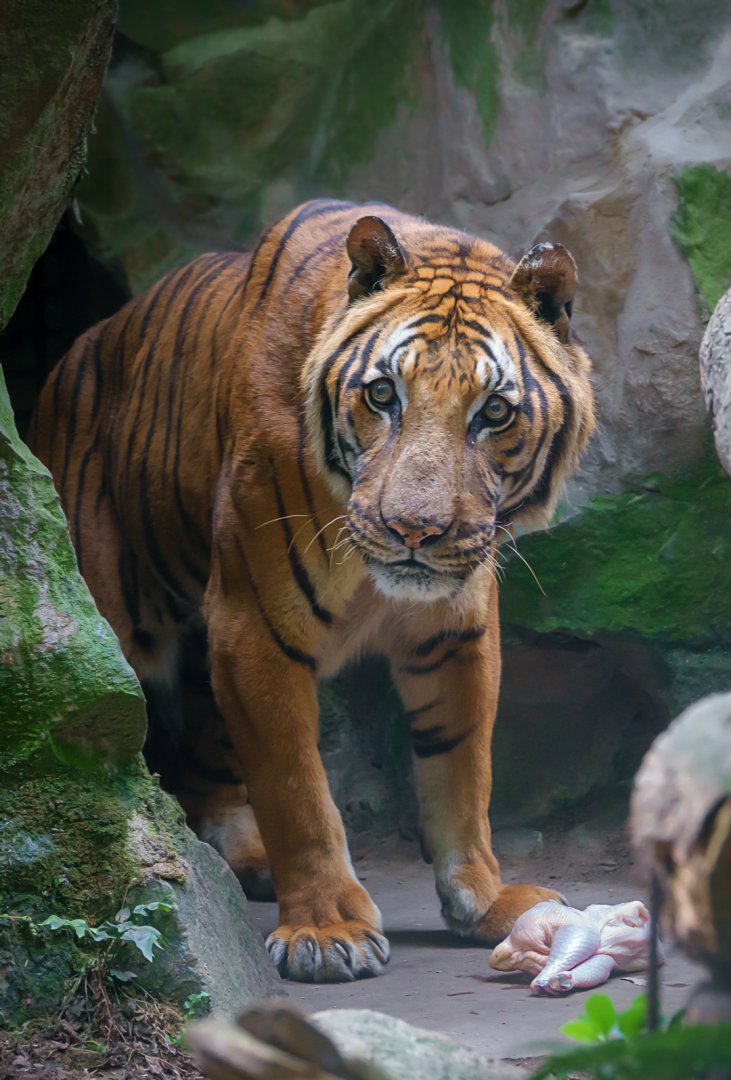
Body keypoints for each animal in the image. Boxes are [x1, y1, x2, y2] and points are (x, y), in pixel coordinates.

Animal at [29, 198, 595, 983]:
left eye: (494, 412)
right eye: (383, 394)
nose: (413, 530)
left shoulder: (458, 631)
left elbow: (463, 772)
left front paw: (484, 900)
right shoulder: (254, 624)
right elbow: (297, 788)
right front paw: (326, 930)